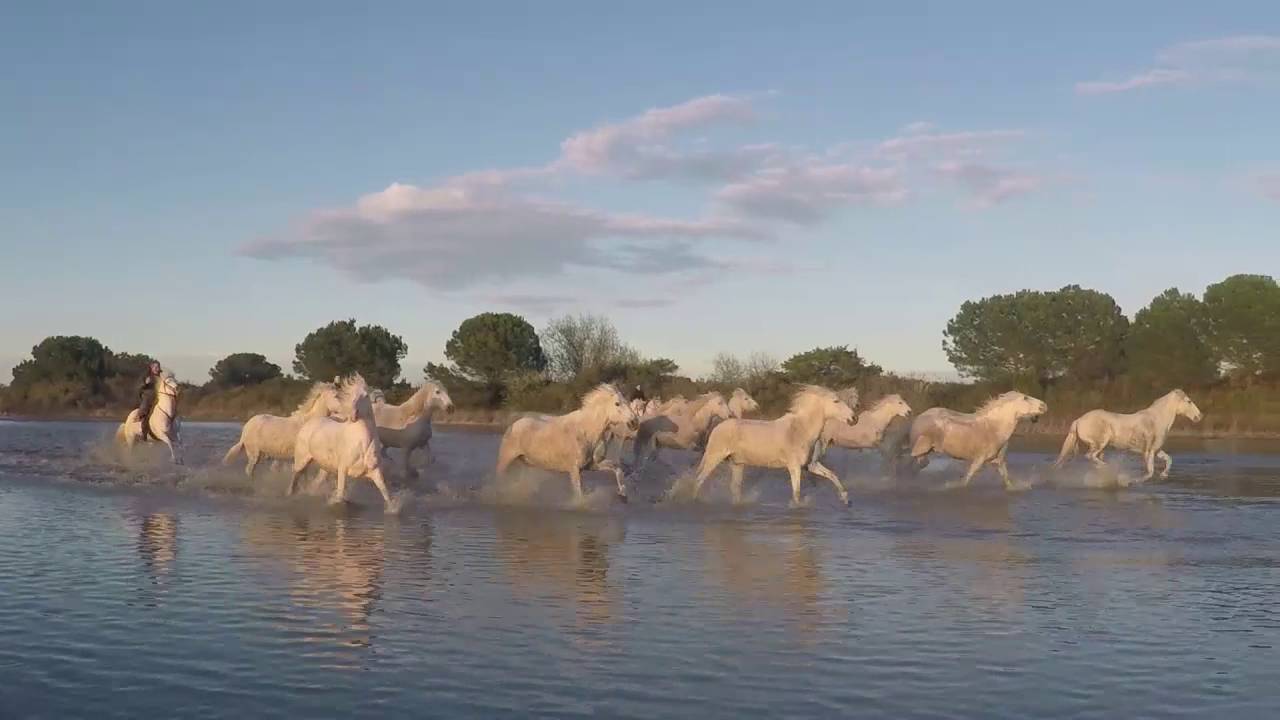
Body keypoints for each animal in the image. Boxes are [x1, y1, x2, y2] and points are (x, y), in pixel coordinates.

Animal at [289, 374, 396, 511]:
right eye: (351, 396)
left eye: (365, 395)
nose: (353, 414)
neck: (362, 443)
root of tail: (311, 421)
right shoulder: (343, 470)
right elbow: (340, 497)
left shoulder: (375, 471)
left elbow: (386, 494)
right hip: (302, 460)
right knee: (295, 476)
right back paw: (290, 494)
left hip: (325, 468)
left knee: (314, 483)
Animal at [495, 384, 640, 503]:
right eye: (617, 403)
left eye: (627, 401)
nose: (634, 422)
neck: (586, 432)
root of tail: (513, 424)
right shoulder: (574, 469)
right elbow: (579, 494)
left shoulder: (592, 465)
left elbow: (617, 469)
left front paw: (623, 495)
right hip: (506, 460)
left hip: (526, 463)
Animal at [689, 385, 857, 507]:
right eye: (836, 401)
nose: (854, 419)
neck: (800, 430)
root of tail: (718, 427)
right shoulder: (794, 467)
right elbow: (796, 493)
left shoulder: (810, 465)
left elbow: (833, 475)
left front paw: (846, 499)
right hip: (714, 458)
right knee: (699, 480)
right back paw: (694, 501)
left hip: (737, 464)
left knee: (734, 489)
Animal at [906, 391, 1047, 489]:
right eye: (1025, 398)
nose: (1044, 405)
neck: (994, 428)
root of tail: (921, 416)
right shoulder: (979, 459)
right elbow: (967, 478)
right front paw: (952, 485)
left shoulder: (998, 460)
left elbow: (1006, 478)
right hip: (920, 448)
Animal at [1054, 388, 1202, 479]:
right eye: (1189, 401)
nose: (1199, 416)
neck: (1156, 420)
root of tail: (1079, 420)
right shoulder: (1148, 451)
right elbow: (1150, 472)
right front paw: (1132, 481)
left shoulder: (1156, 450)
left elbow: (1169, 459)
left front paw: (1164, 475)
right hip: (1100, 443)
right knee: (1090, 456)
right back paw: (1110, 470)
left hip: (1100, 447)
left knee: (1093, 459)